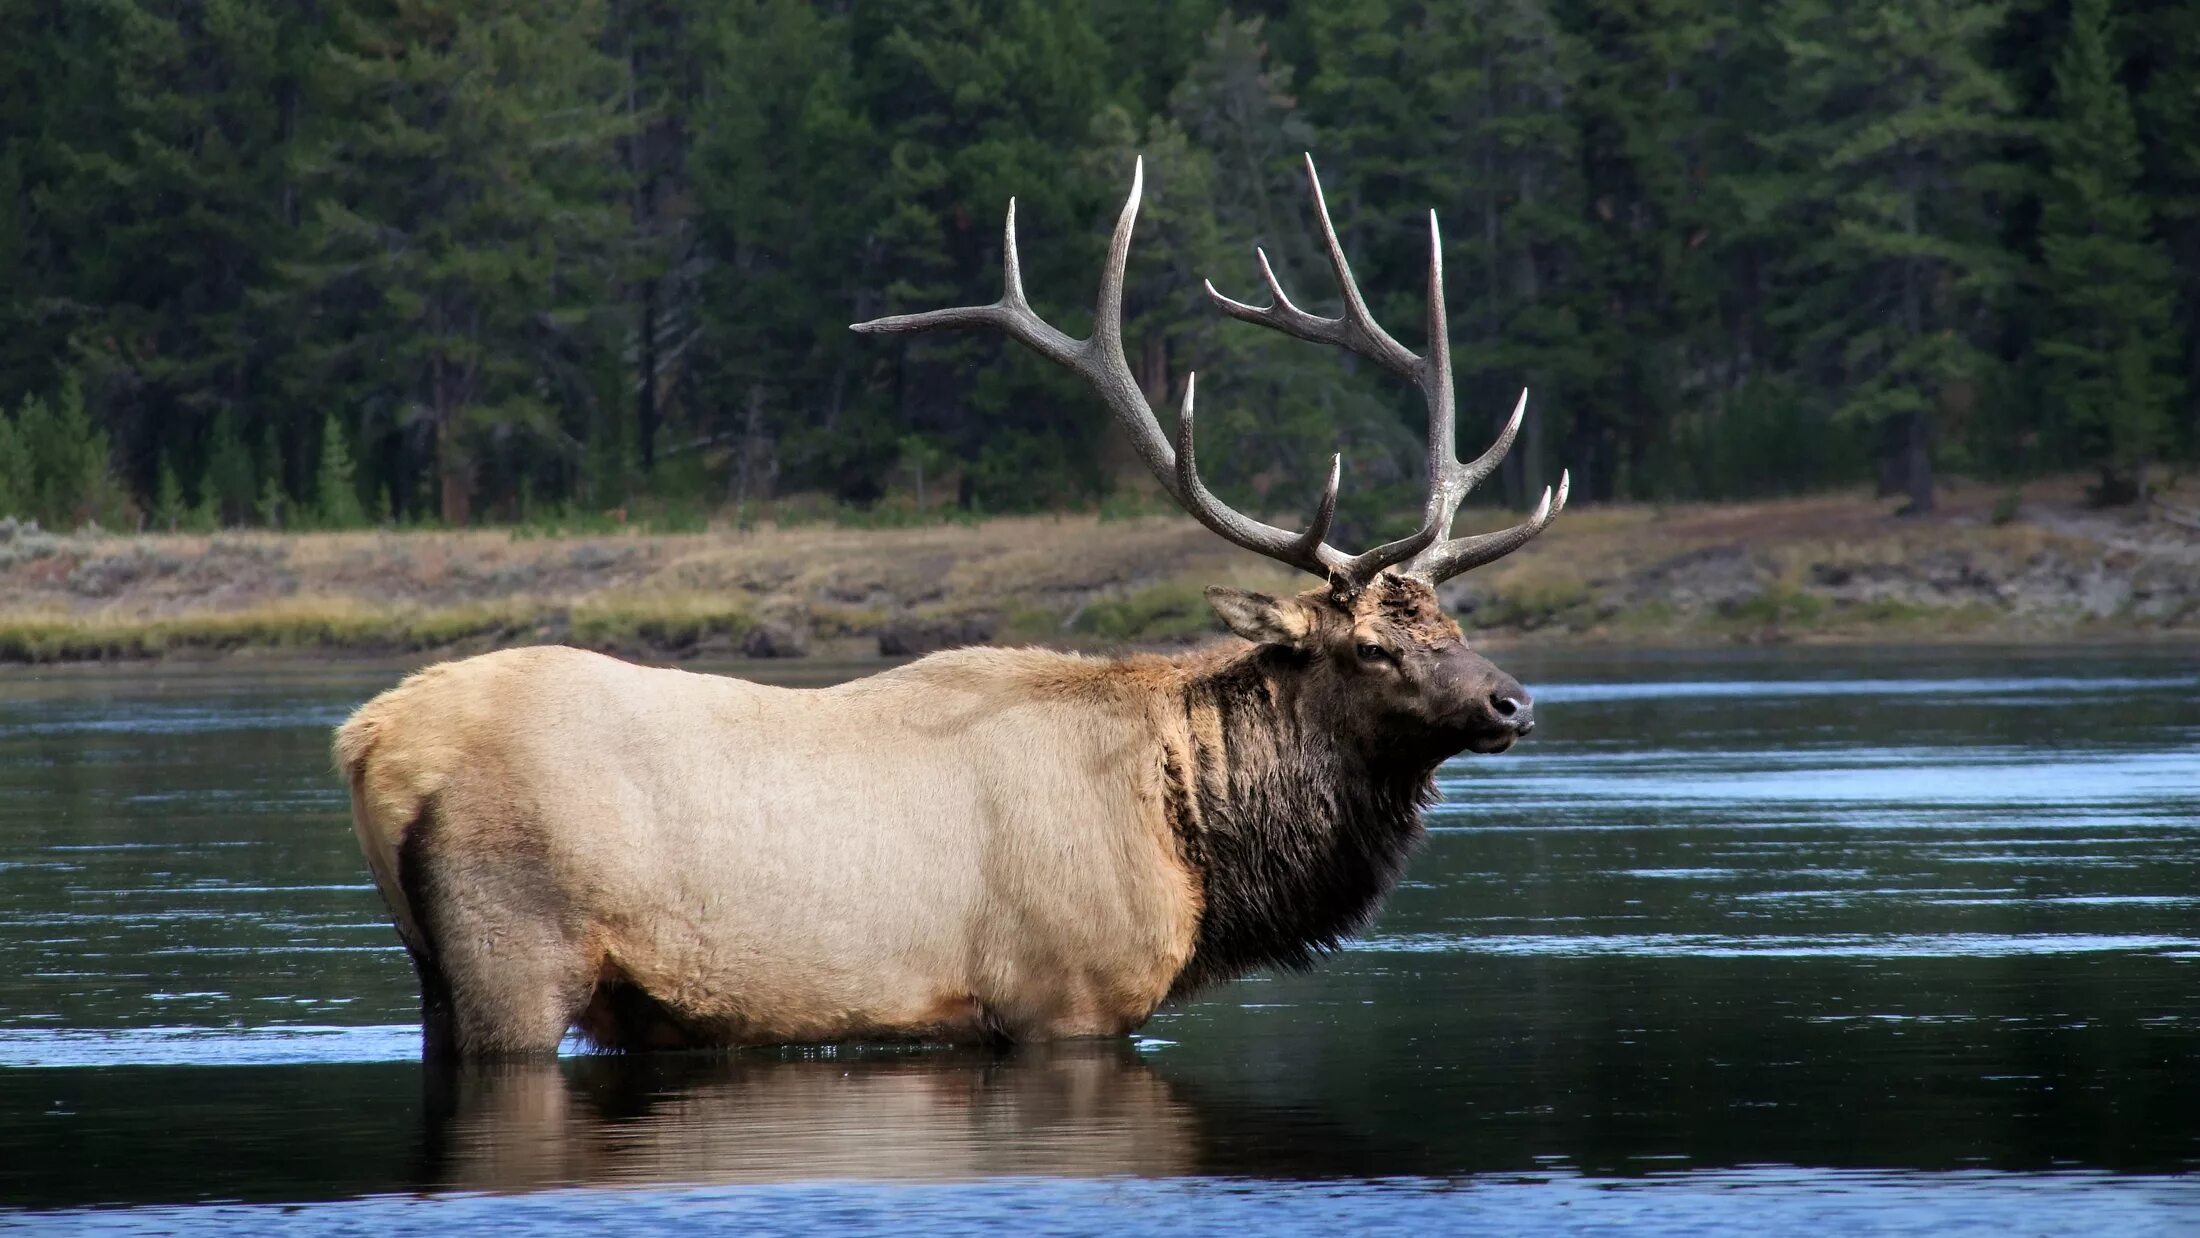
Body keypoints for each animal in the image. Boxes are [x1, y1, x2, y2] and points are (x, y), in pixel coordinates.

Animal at [334, 157, 1566, 1064]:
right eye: (1369, 647)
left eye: (1451, 627)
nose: (1513, 701)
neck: (1194, 842)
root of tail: (370, 739)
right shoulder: (1066, 997)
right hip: (515, 950)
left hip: (434, 972)